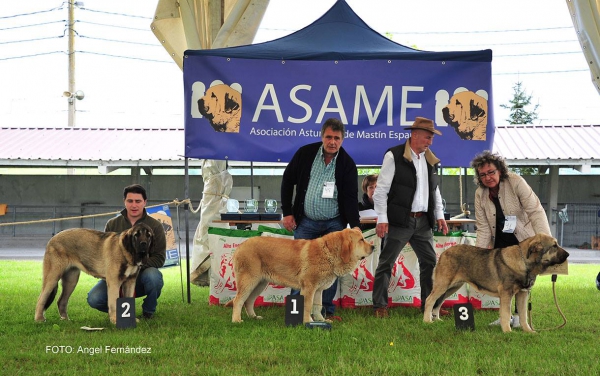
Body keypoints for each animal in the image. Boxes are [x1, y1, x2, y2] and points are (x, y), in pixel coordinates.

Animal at [232, 228, 372, 324]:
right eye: (361, 240)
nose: (373, 246)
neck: (328, 253)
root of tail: (241, 245)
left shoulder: (318, 290)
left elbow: (317, 306)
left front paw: (321, 321)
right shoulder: (309, 287)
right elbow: (308, 305)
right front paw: (307, 321)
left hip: (259, 284)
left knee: (248, 301)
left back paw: (254, 317)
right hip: (249, 281)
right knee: (238, 300)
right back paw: (237, 320)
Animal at [424, 234, 568, 334]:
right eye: (554, 246)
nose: (568, 254)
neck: (524, 261)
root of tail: (444, 253)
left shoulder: (522, 294)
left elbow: (523, 315)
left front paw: (529, 331)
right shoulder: (506, 294)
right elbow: (506, 313)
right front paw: (508, 331)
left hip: (452, 287)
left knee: (439, 301)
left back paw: (436, 319)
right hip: (443, 284)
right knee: (430, 300)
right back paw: (427, 321)